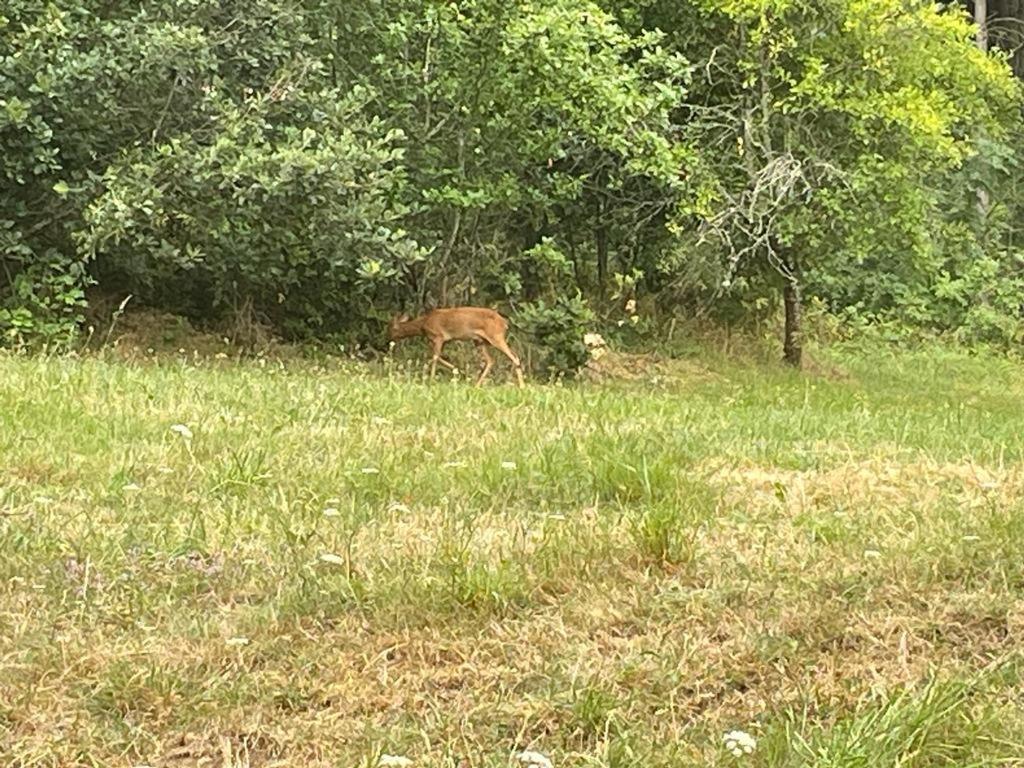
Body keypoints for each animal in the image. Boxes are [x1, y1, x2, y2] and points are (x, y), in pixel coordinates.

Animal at [385, 307, 524, 387]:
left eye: (391, 329)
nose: (387, 340)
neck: (423, 324)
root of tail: (504, 323)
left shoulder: (438, 336)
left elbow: (435, 358)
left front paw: (431, 380)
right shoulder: (443, 340)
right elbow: (438, 357)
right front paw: (459, 371)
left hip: (496, 336)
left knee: (514, 356)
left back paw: (522, 386)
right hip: (480, 341)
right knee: (491, 360)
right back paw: (476, 384)